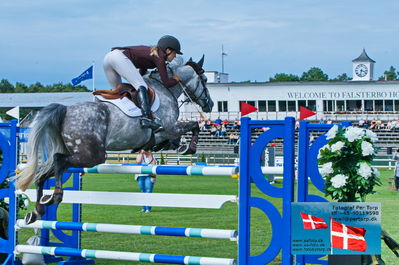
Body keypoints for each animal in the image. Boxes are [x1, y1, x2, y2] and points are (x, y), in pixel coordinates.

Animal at [16, 56, 212, 223]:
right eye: (204, 79)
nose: (209, 104)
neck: (165, 89)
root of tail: (65, 110)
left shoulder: (165, 133)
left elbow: (171, 140)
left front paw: (177, 147)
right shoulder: (170, 127)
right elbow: (194, 125)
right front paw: (189, 148)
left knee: (42, 173)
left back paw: (36, 211)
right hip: (91, 155)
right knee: (58, 161)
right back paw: (55, 196)